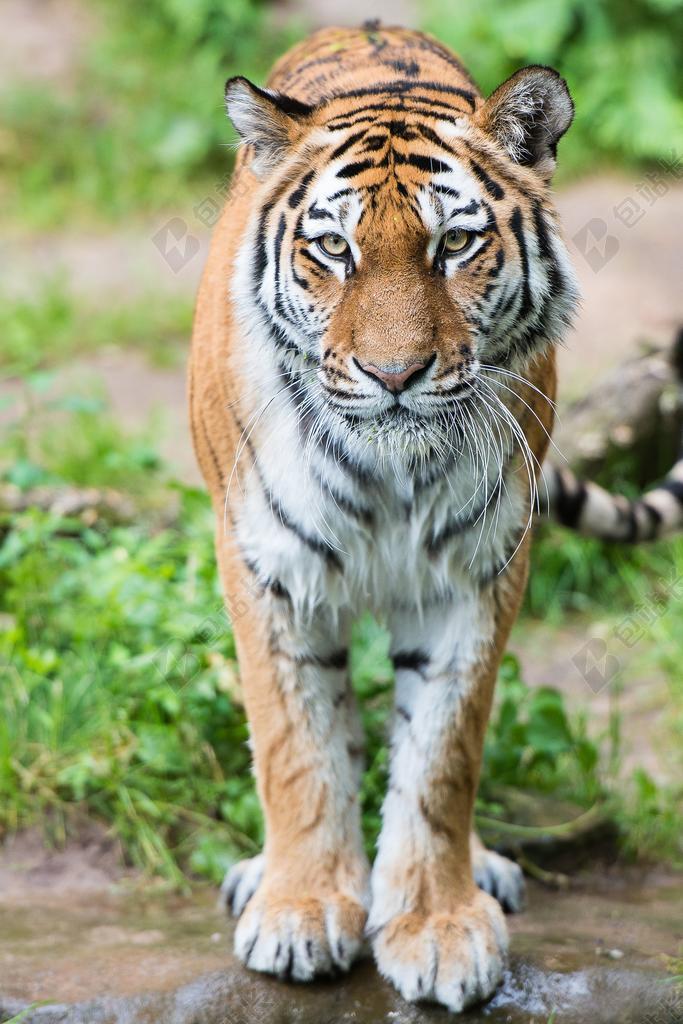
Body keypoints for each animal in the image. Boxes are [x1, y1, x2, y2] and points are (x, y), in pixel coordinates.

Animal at [189, 22, 681, 1013]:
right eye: (332, 248)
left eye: (453, 244)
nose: (393, 374)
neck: (390, 469)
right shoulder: (269, 568)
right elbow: (295, 746)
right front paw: (301, 909)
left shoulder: (478, 574)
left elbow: (442, 756)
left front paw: (438, 925)